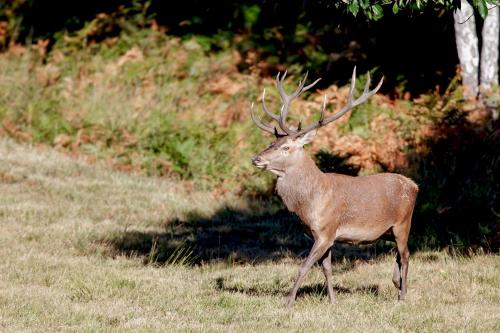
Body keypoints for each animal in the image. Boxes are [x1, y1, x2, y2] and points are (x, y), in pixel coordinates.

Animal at [250, 68, 418, 306]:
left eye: (286, 147)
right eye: (271, 143)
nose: (256, 159)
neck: (309, 204)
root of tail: (414, 186)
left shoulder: (326, 230)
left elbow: (304, 267)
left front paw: (288, 302)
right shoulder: (321, 235)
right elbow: (327, 269)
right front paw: (332, 300)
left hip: (404, 222)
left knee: (405, 255)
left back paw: (402, 296)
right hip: (388, 231)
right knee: (398, 254)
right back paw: (396, 284)